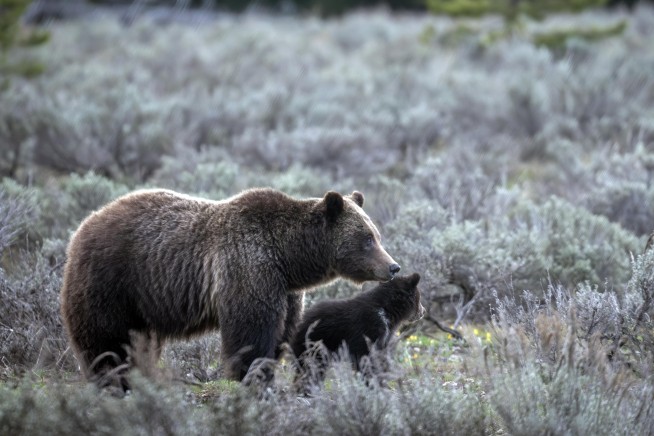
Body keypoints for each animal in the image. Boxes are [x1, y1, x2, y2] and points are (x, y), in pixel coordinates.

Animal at [60, 187, 400, 385]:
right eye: (367, 239)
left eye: (377, 235)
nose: (393, 267)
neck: (289, 258)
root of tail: (83, 225)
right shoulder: (249, 266)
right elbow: (250, 331)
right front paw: (251, 377)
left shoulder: (285, 290)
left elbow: (281, 333)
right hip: (112, 281)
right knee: (106, 341)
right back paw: (112, 380)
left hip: (141, 302)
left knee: (139, 342)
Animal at [290, 273, 425, 388]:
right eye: (419, 297)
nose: (423, 312)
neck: (387, 311)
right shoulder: (369, 327)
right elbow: (366, 358)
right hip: (316, 344)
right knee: (311, 368)